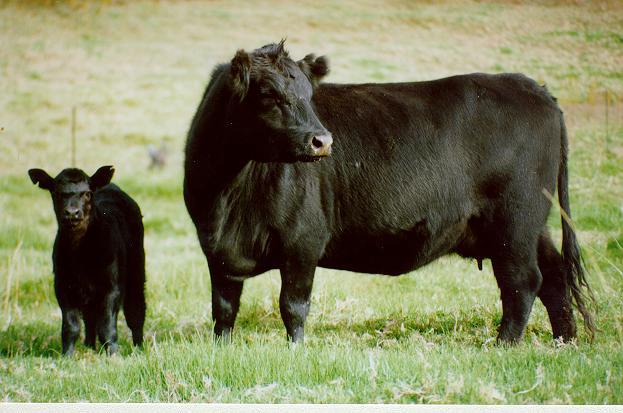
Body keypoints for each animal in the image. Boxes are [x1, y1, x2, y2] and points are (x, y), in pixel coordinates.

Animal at [29, 166, 147, 352]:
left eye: (87, 193)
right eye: (57, 193)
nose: (72, 213)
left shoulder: (113, 286)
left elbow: (107, 327)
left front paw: (113, 354)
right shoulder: (62, 285)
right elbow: (71, 327)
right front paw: (67, 354)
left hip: (136, 271)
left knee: (136, 311)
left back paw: (139, 348)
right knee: (90, 318)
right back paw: (90, 346)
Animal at [182, 41, 596, 344]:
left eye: (308, 95)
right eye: (268, 95)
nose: (322, 141)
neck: (230, 197)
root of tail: (533, 88)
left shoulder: (303, 242)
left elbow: (293, 305)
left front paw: (295, 348)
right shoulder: (215, 249)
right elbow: (224, 307)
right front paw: (222, 347)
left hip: (515, 221)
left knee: (522, 281)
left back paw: (504, 344)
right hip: (532, 225)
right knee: (554, 275)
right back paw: (564, 341)